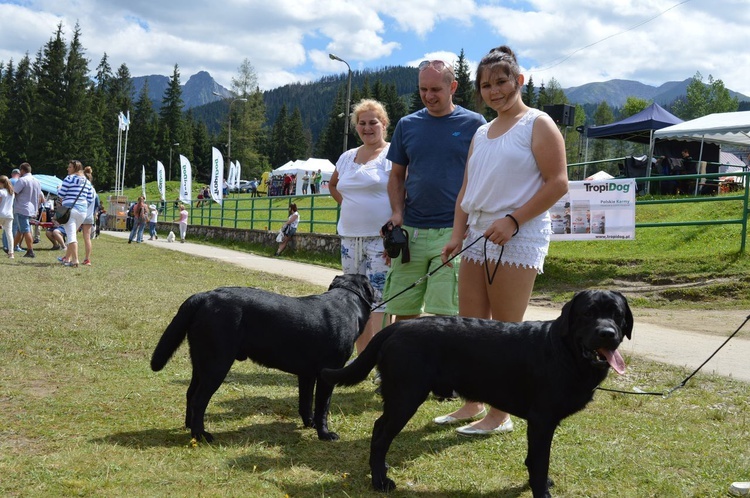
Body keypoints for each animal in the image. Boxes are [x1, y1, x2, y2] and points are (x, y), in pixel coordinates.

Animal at [151, 274, 376, 442]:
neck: (347, 302)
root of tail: (203, 296)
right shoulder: (327, 374)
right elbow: (322, 407)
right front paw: (324, 434)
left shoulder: (307, 374)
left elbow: (305, 402)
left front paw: (309, 423)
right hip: (217, 364)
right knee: (199, 399)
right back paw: (201, 434)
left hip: (201, 363)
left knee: (190, 393)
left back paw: (189, 427)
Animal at [324, 290, 636, 496]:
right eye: (588, 314)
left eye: (617, 315)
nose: (608, 333)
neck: (565, 352)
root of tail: (396, 327)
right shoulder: (542, 420)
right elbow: (540, 462)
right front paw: (541, 490)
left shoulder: (540, 424)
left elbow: (534, 460)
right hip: (406, 397)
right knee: (380, 433)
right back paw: (380, 481)